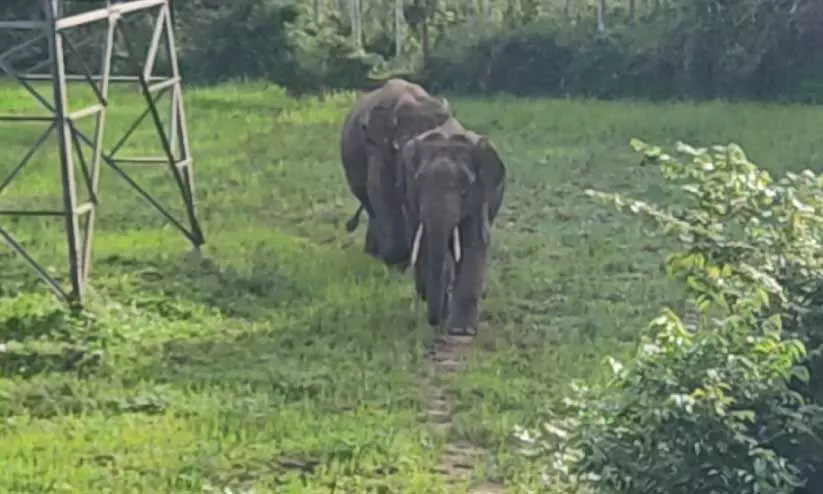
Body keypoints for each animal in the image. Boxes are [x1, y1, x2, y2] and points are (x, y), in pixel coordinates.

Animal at [339, 78, 452, 268]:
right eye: (400, 149)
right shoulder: (375, 146)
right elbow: (381, 189)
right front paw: (395, 261)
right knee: (369, 202)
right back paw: (374, 254)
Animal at [399, 117, 507, 335]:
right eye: (420, 185)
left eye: (464, 190)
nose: (434, 321)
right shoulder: (411, 199)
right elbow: (423, 244)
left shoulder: (479, 195)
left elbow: (474, 242)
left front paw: (461, 331)